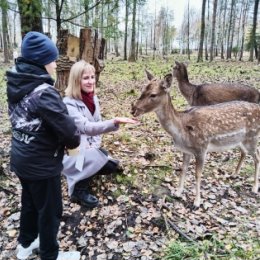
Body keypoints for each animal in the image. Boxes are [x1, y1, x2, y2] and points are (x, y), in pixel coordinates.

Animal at [132, 70, 260, 208]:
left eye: (153, 94)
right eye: (142, 90)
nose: (133, 110)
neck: (181, 129)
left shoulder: (201, 148)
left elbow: (197, 174)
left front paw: (197, 202)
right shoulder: (186, 151)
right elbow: (183, 170)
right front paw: (178, 193)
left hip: (253, 136)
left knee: (257, 157)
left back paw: (254, 188)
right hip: (241, 140)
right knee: (244, 152)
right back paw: (234, 174)